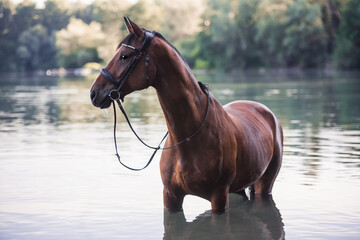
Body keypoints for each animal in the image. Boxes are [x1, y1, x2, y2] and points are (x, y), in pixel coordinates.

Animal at [90, 18, 284, 214]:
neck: (190, 136)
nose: (94, 93)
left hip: (264, 183)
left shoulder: (219, 197)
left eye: (124, 56)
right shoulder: (171, 196)